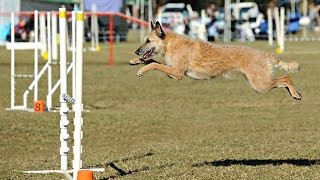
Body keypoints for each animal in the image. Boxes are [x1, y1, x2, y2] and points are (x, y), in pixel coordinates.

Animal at [129, 21, 302, 100]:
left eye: (148, 41)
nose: (136, 51)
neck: (170, 44)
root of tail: (264, 54)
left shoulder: (177, 73)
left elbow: (153, 64)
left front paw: (141, 69)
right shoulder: (172, 71)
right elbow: (152, 61)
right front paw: (135, 61)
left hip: (260, 84)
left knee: (286, 78)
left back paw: (295, 93)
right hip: (260, 83)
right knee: (282, 81)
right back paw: (294, 93)